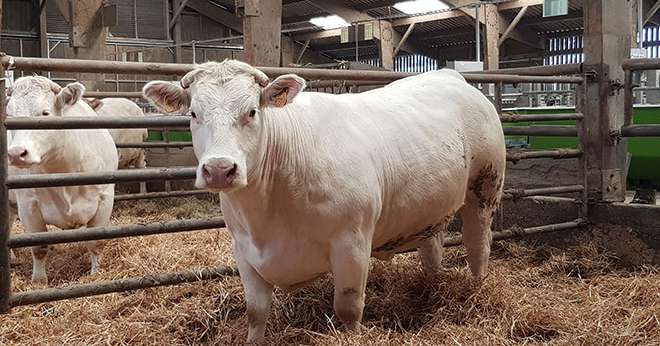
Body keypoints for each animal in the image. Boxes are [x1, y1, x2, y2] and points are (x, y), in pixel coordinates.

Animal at [6, 77, 118, 286]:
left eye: (45, 113)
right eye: (9, 115)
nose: (16, 154)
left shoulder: (105, 198)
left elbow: (96, 242)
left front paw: (96, 274)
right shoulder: (28, 204)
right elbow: (39, 247)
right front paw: (39, 281)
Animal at [143, 58, 506, 340]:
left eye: (252, 112)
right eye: (192, 114)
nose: (219, 169)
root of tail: (449, 75)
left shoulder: (352, 242)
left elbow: (348, 308)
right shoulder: (243, 251)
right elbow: (256, 313)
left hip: (486, 186)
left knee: (478, 245)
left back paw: (475, 289)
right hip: (430, 207)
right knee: (432, 249)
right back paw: (430, 287)